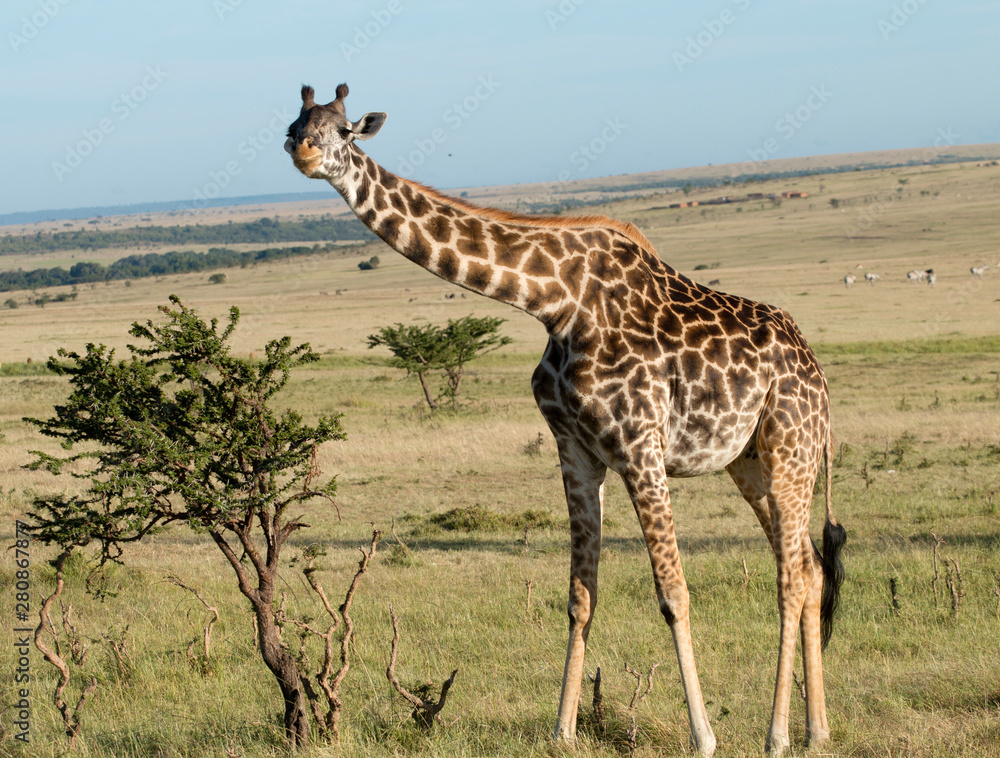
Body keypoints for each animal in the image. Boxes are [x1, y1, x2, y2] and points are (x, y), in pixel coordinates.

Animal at [284, 83, 846, 756]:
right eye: (292, 124)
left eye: (343, 131)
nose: (304, 152)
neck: (554, 302)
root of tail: (818, 375)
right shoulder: (576, 451)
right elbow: (580, 596)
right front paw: (563, 729)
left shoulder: (640, 448)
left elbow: (673, 594)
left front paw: (703, 735)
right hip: (752, 464)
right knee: (810, 568)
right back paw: (817, 729)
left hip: (791, 447)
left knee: (791, 576)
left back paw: (778, 733)